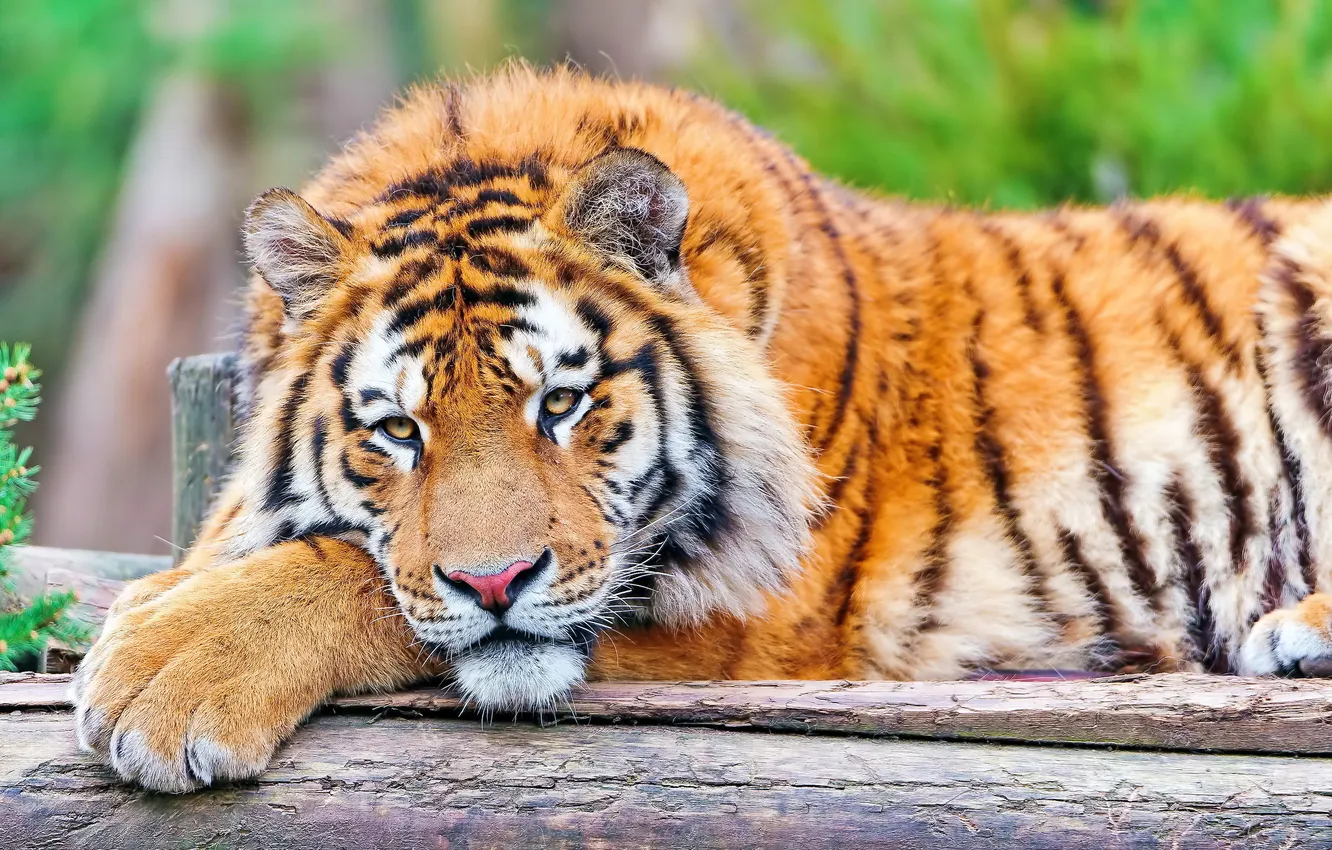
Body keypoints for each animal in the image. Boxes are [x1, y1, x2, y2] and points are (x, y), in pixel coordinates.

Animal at [70, 64, 1332, 793]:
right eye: (400, 432)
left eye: (561, 403)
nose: (496, 582)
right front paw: (159, 602)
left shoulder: (750, 610)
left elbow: (359, 577)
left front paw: (163, 670)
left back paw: (1296, 629)